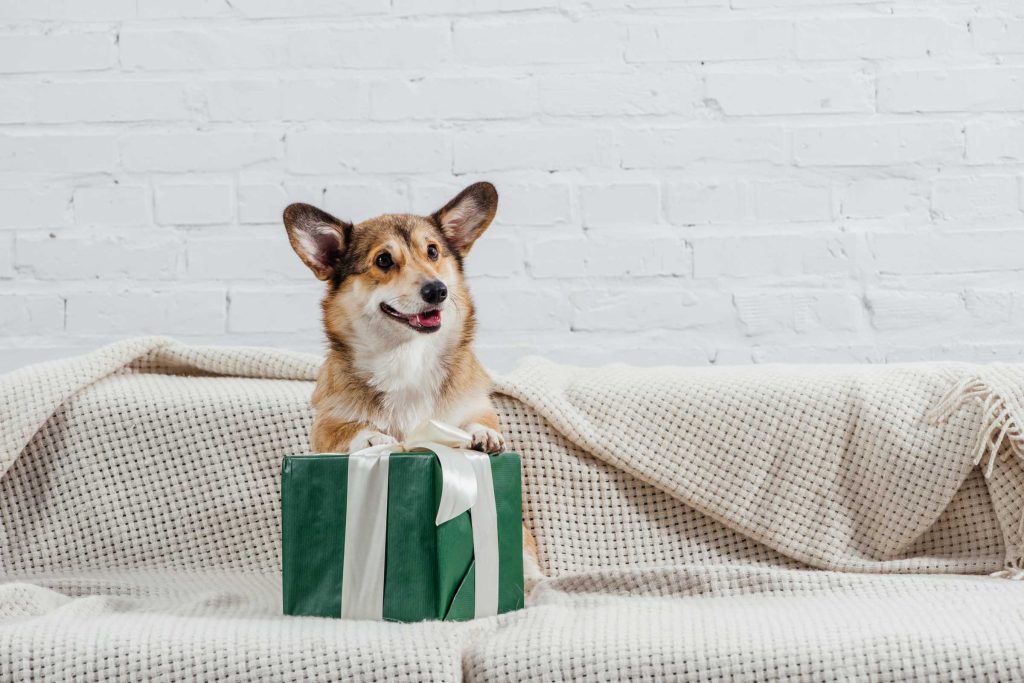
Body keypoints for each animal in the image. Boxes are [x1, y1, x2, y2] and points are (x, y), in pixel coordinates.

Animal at [284, 180, 540, 581]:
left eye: (432, 251)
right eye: (383, 260)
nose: (437, 290)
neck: (407, 357)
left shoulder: (475, 404)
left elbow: (480, 420)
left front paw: (482, 435)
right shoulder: (324, 426)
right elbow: (346, 429)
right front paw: (372, 436)